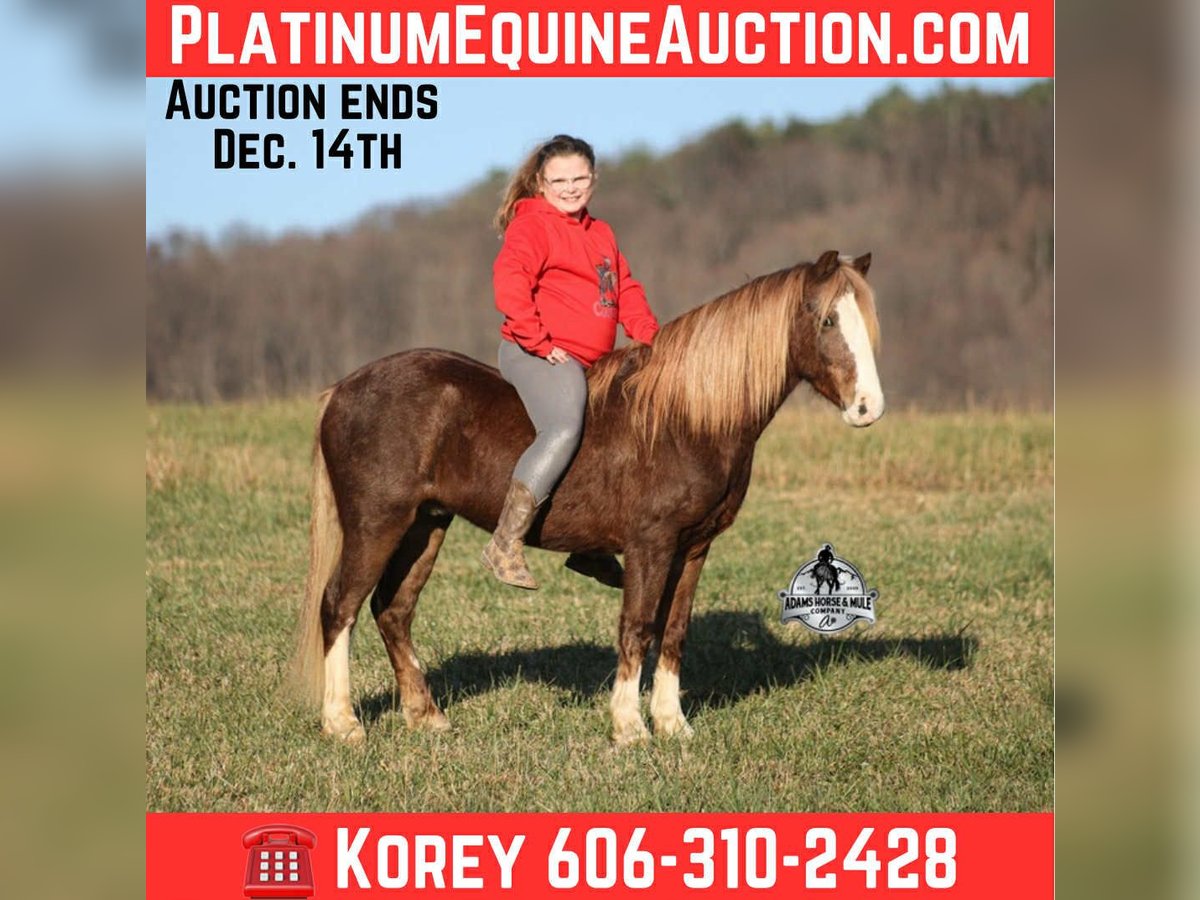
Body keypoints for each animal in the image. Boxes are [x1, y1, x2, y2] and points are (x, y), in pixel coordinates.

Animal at [291, 249, 883, 746]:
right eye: (828, 321)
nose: (868, 408)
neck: (686, 418)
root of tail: (342, 390)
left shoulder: (694, 548)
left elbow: (674, 631)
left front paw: (672, 724)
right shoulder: (650, 544)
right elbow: (637, 628)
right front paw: (630, 727)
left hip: (425, 525)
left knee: (393, 610)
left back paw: (426, 715)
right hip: (376, 523)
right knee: (339, 605)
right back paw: (342, 723)